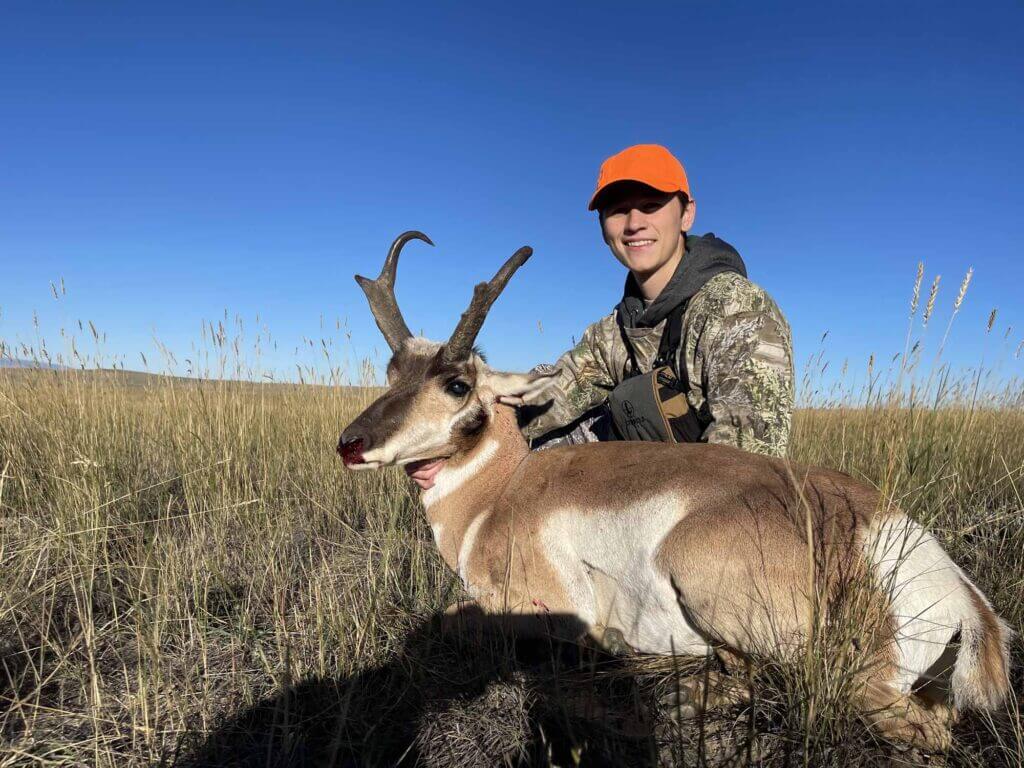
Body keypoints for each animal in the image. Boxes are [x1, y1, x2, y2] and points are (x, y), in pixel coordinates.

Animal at [337, 232, 1012, 751]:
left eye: (456, 384)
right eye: (392, 374)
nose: (350, 443)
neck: (501, 490)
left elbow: (451, 622)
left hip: (712, 584)